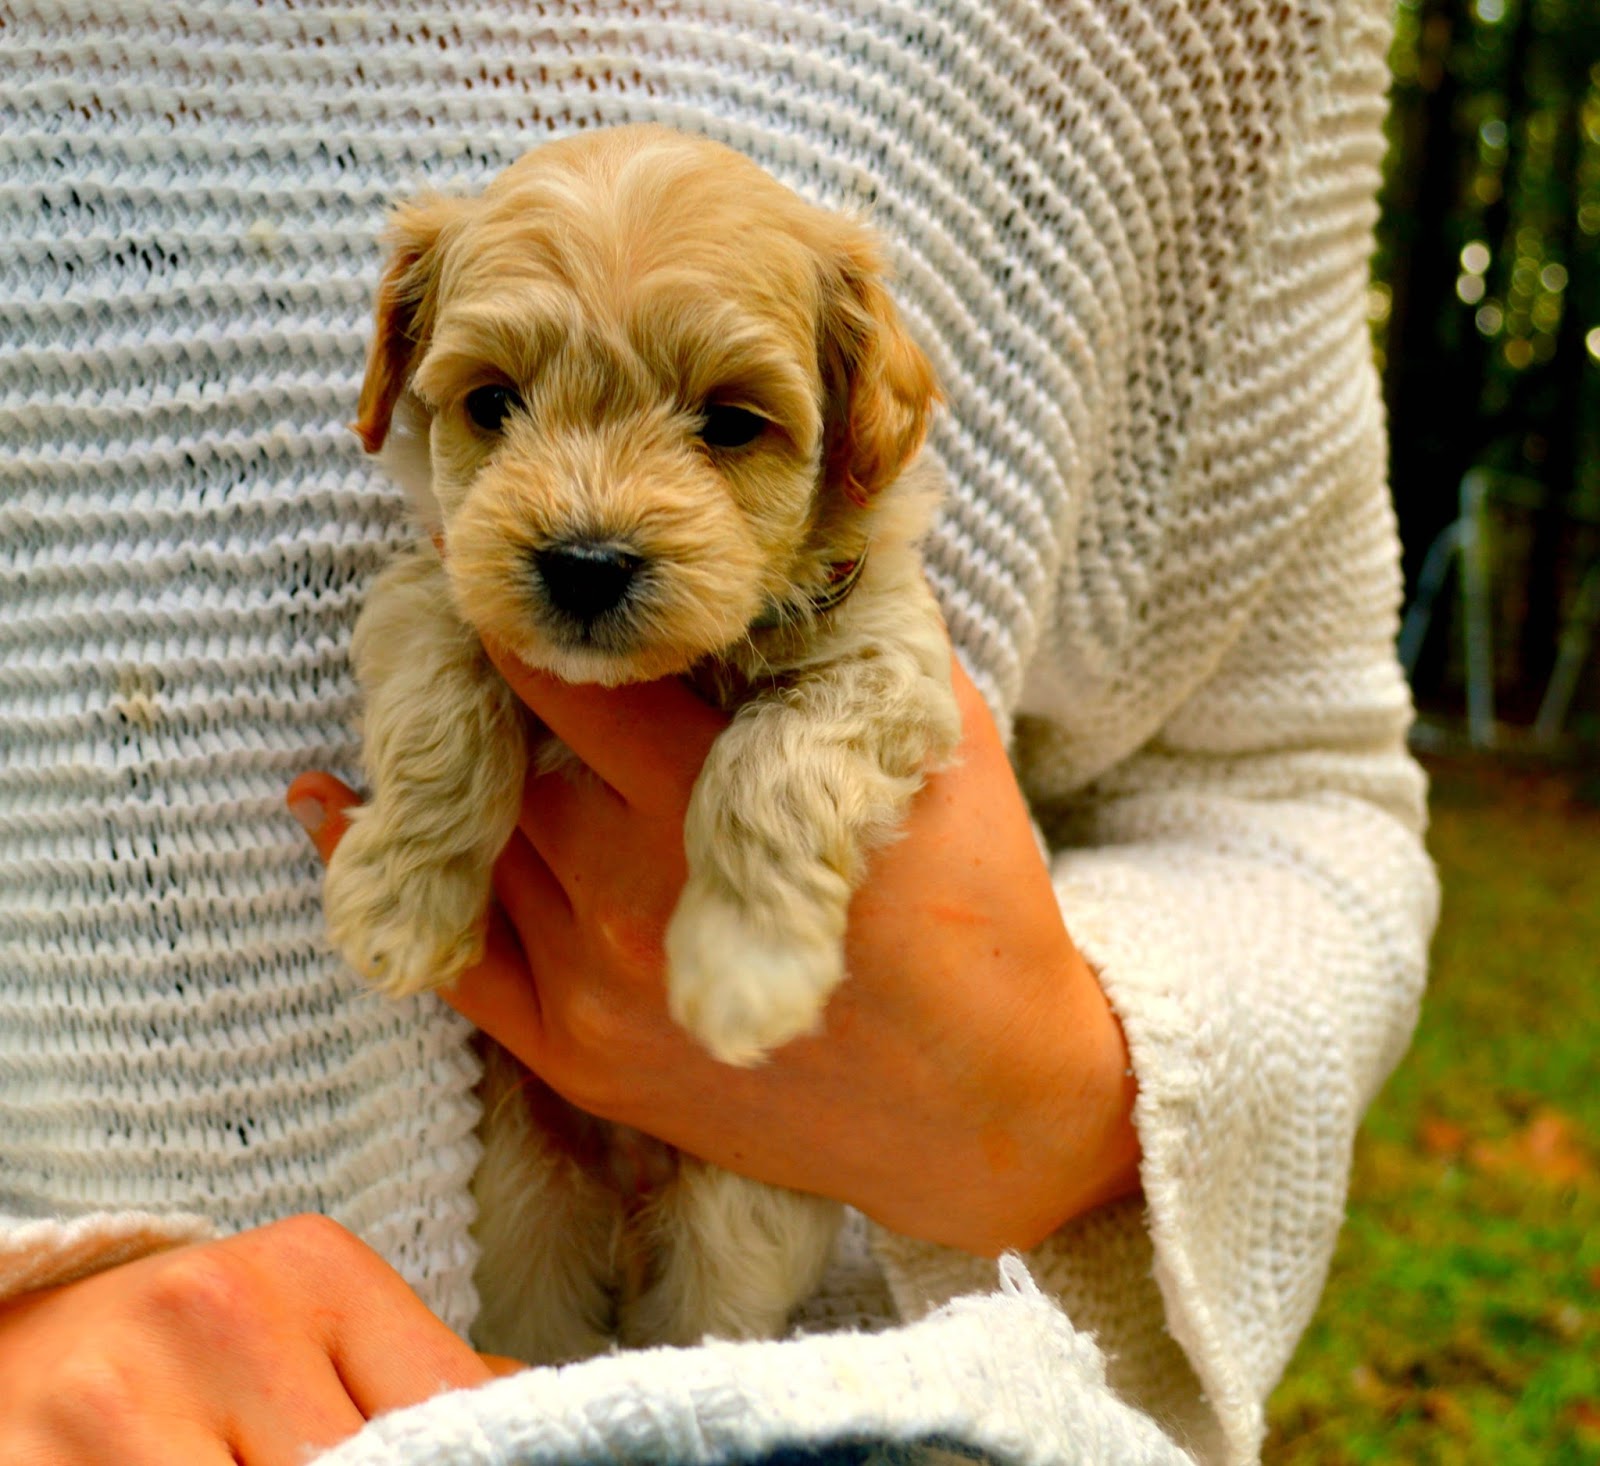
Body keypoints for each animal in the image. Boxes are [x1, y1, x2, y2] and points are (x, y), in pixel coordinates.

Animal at [318, 125, 953, 1363]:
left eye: (730, 422)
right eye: (493, 401)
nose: (583, 562)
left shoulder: (892, 664)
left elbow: (770, 760)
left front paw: (748, 960)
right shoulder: (434, 587)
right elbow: (442, 709)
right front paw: (401, 903)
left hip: (739, 1210)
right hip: (527, 1192)